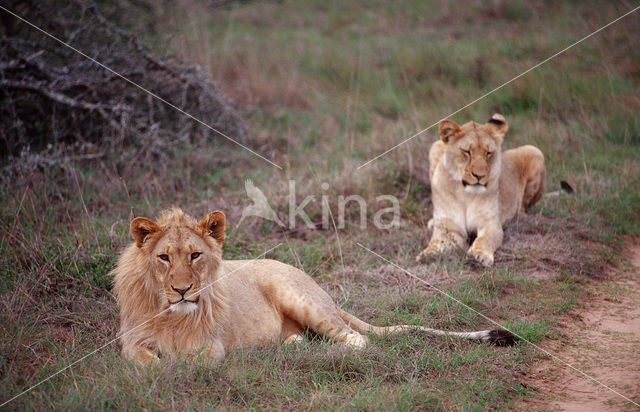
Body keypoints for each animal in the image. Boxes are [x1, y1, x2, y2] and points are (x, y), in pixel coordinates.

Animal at [112, 209, 516, 364]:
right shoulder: (131, 340)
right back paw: (289, 346)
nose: (182, 290)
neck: (170, 313)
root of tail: (321, 290)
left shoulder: (212, 344)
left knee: (357, 340)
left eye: (195, 255)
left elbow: (193, 362)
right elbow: (145, 361)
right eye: (164, 258)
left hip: (297, 296)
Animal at [416, 113, 544, 268]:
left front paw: (479, 255)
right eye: (467, 151)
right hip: (435, 146)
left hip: (534, 151)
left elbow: (484, 240)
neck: (465, 194)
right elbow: (437, 242)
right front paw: (428, 254)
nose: (479, 175)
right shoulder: (449, 228)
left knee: (523, 207)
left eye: (488, 153)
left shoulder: (490, 225)